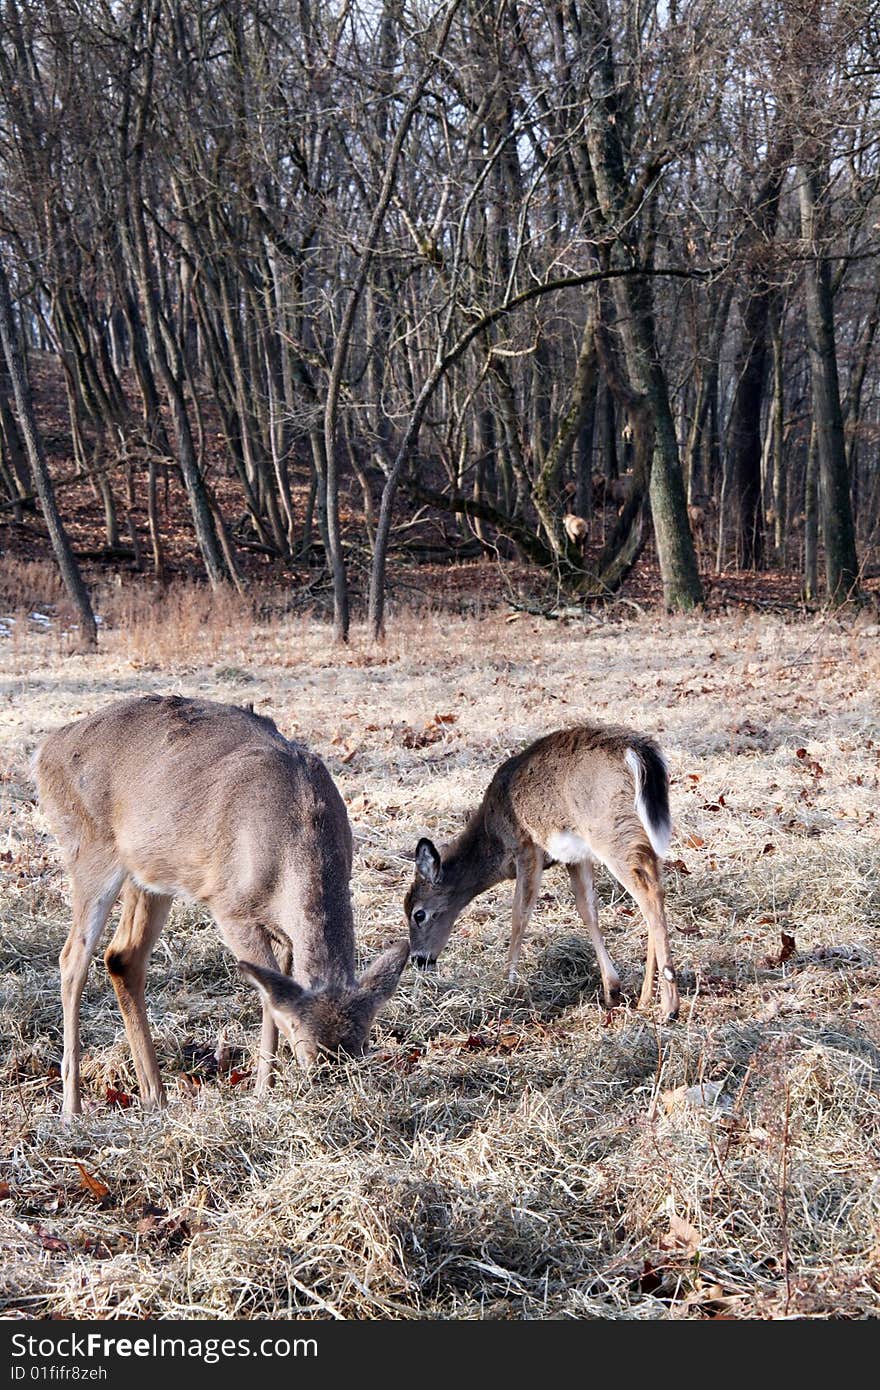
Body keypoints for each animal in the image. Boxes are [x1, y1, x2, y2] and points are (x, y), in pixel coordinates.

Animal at [30, 695, 408, 1117]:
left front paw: (263, 1087)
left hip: (150, 875)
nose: (330, 1080)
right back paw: (72, 1106)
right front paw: (262, 1094)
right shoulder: (230, 907)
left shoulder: (285, 932)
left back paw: (154, 1096)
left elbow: (273, 995)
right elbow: (268, 996)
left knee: (122, 957)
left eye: (363, 1043)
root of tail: (46, 750)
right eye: (307, 1046)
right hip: (88, 850)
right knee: (72, 959)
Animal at [405, 728, 678, 1023]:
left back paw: (668, 1007)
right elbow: (587, 910)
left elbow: (519, 915)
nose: (419, 959)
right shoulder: (576, 857)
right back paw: (645, 998)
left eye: (418, 914)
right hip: (641, 832)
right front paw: (611, 989)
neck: (493, 838)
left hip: (609, 830)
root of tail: (637, 752)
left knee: (648, 893)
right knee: (654, 886)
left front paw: (508, 984)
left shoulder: (526, 846)